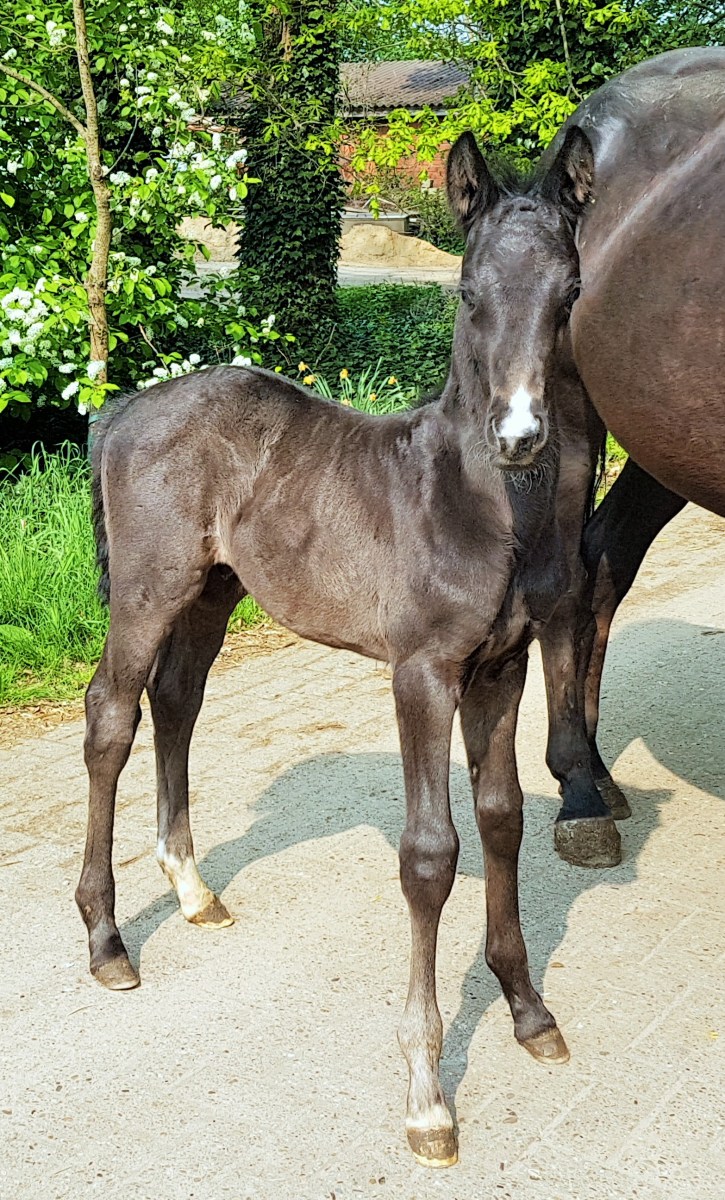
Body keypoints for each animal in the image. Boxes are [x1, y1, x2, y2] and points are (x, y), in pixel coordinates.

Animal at [77, 126, 606, 1168]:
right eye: (467, 292)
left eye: (567, 293)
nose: (521, 435)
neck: (478, 504)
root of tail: (121, 411)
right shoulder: (422, 674)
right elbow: (430, 855)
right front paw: (426, 1095)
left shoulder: (501, 668)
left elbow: (500, 822)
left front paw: (528, 1011)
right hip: (150, 591)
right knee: (110, 716)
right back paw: (109, 942)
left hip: (212, 593)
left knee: (176, 702)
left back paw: (192, 891)